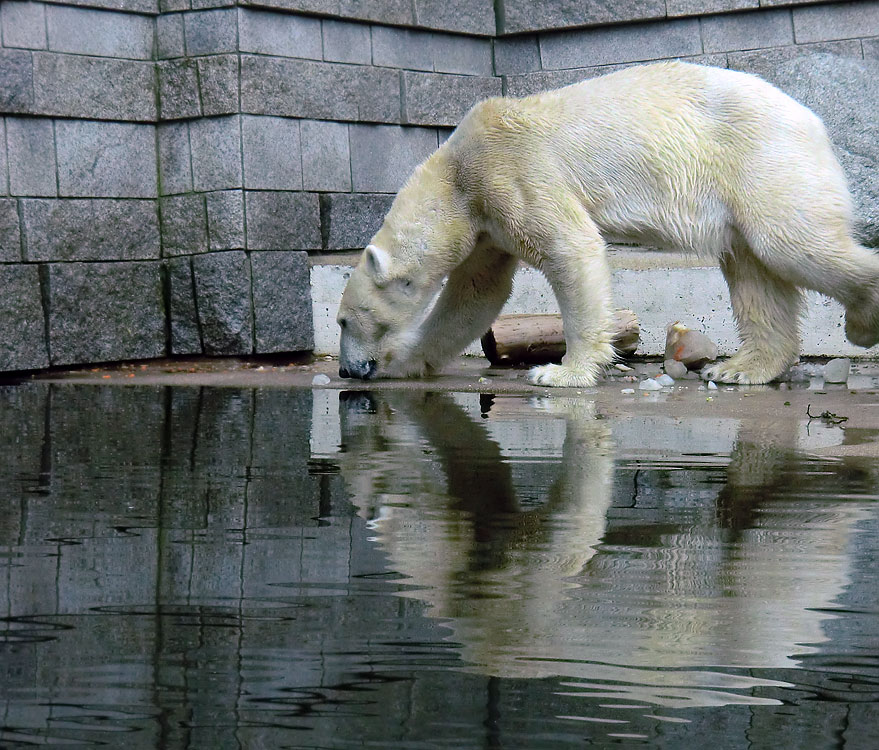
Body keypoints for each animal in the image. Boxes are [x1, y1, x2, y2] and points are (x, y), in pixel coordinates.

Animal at [336, 60, 879, 388]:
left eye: (344, 320)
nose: (347, 370)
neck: (456, 173)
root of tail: (814, 121)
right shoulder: (486, 222)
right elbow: (476, 294)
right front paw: (402, 363)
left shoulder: (513, 170)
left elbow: (569, 248)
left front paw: (560, 373)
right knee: (752, 271)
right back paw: (741, 367)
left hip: (763, 162)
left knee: (793, 244)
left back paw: (862, 321)